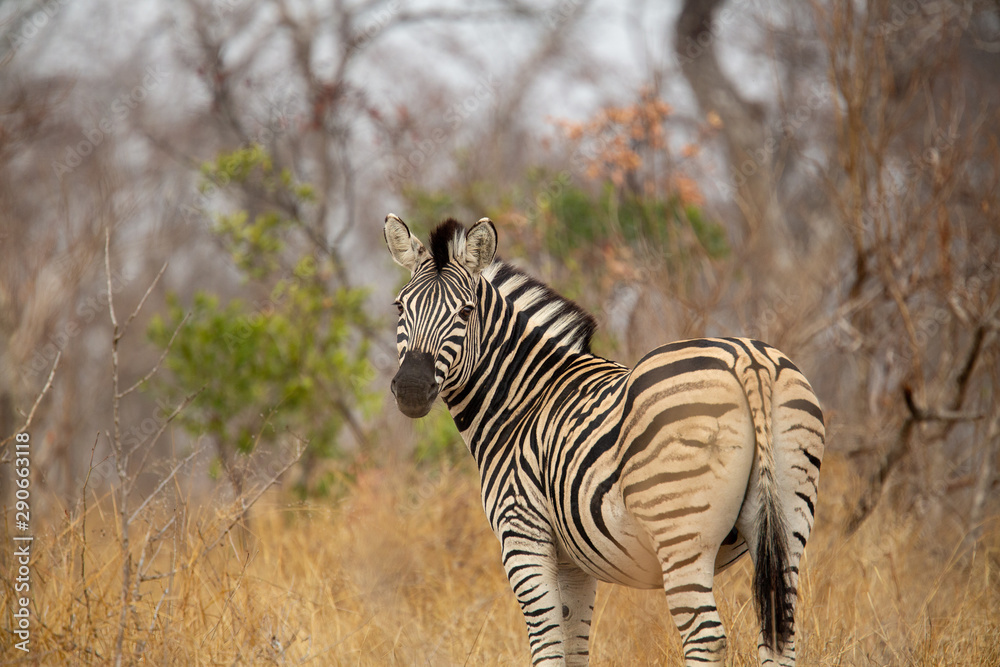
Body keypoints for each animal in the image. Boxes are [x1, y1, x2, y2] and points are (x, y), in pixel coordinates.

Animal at [383, 213, 824, 666]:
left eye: (466, 311)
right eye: (400, 306)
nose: (412, 389)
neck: (524, 400)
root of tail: (749, 361)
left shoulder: (523, 534)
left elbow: (548, 647)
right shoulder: (573, 561)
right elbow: (575, 648)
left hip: (681, 532)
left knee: (705, 636)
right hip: (789, 518)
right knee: (781, 636)